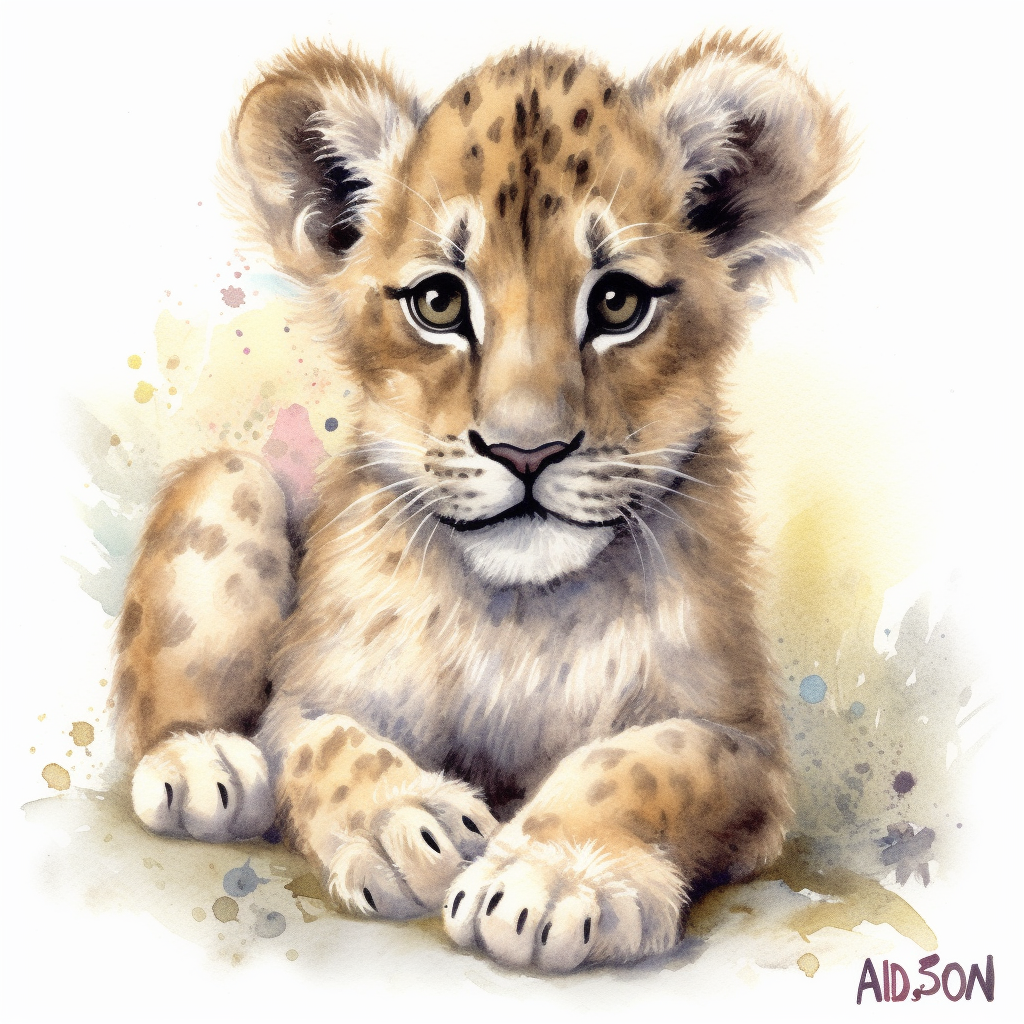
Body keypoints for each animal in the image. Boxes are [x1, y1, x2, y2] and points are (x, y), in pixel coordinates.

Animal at [112, 33, 852, 971]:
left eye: (618, 302)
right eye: (438, 301)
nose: (524, 450)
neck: (521, 615)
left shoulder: (744, 744)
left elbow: (641, 760)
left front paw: (551, 879)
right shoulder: (309, 696)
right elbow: (326, 745)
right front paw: (409, 826)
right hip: (232, 478)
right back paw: (203, 765)